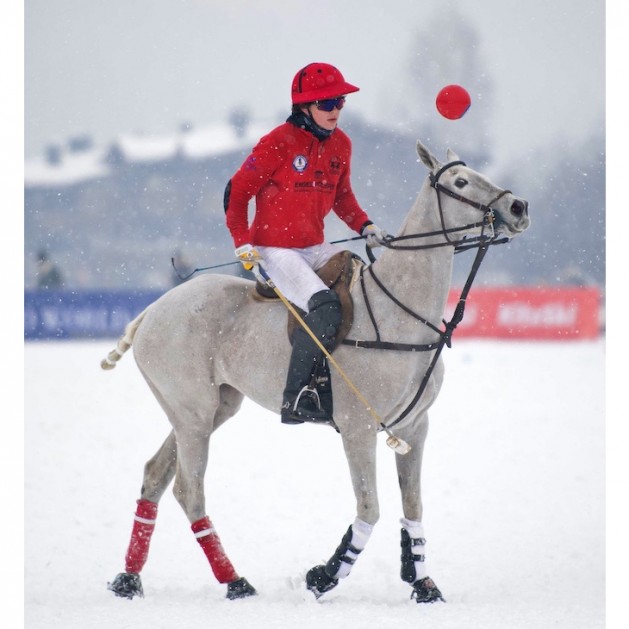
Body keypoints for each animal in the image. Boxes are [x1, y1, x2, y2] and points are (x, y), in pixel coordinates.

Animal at [100, 139, 528, 604]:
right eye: (461, 182)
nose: (518, 206)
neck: (400, 311)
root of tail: (151, 311)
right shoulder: (358, 427)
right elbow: (369, 508)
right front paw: (323, 575)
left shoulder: (415, 426)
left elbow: (412, 505)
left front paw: (424, 584)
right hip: (192, 411)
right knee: (188, 488)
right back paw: (235, 582)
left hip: (210, 408)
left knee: (155, 475)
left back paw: (128, 579)